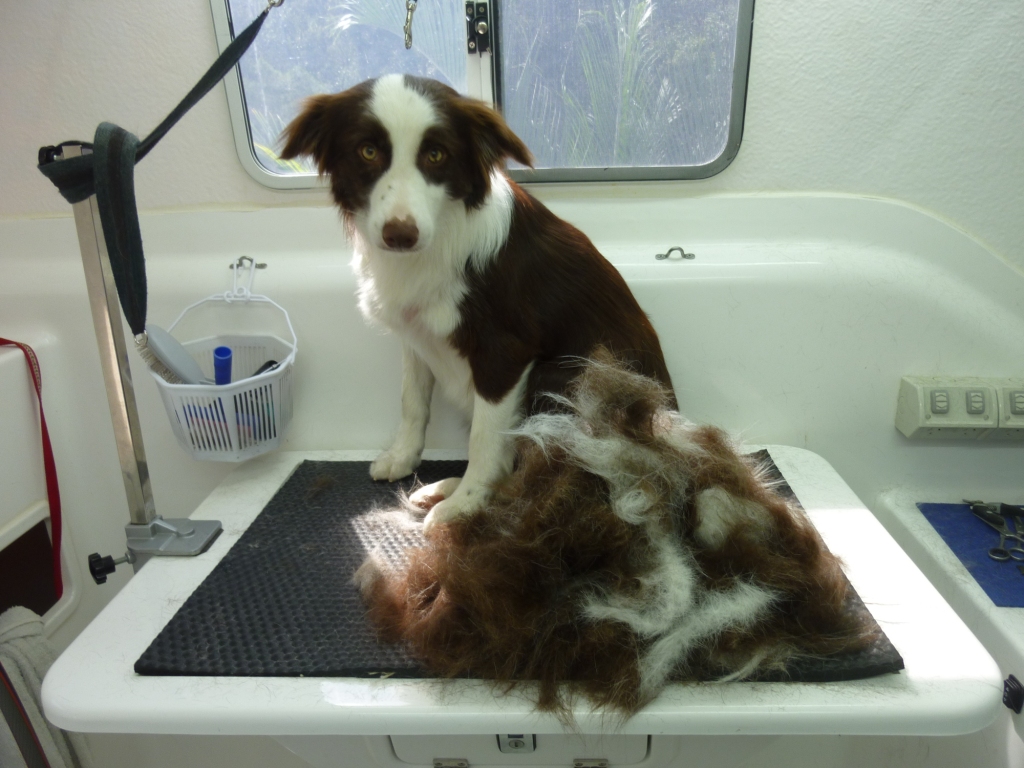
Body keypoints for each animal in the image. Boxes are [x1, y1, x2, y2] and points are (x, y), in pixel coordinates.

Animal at [284, 75, 675, 532]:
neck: (437, 241)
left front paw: (467, 504)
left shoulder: (505, 352)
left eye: (436, 154)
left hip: (564, 375)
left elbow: (486, 438)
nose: (400, 235)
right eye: (367, 150)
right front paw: (403, 458)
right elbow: (412, 401)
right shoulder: (416, 335)